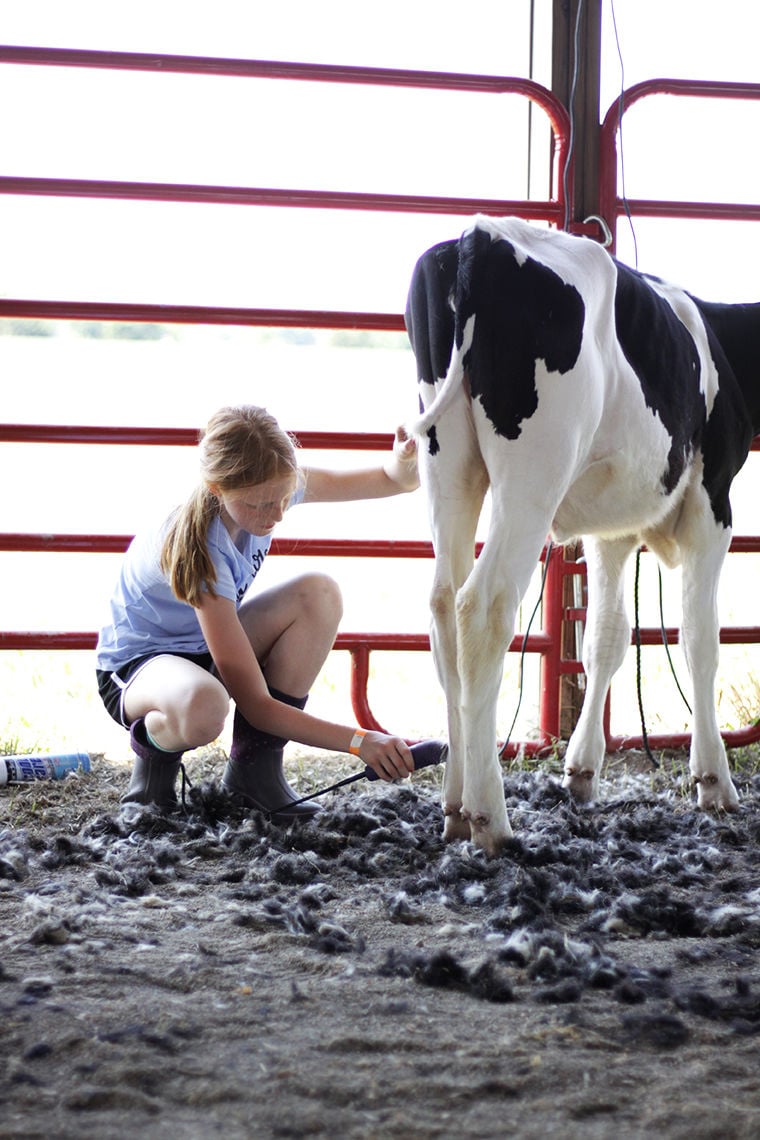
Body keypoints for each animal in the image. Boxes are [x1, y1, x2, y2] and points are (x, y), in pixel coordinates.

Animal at [403, 214, 756, 857]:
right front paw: (714, 781)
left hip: (448, 462)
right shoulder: (712, 503)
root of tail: (481, 236)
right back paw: (492, 819)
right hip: (533, 473)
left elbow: (606, 639)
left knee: (444, 607)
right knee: (482, 606)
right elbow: (700, 638)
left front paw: (582, 771)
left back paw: (456, 807)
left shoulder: (611, 533)